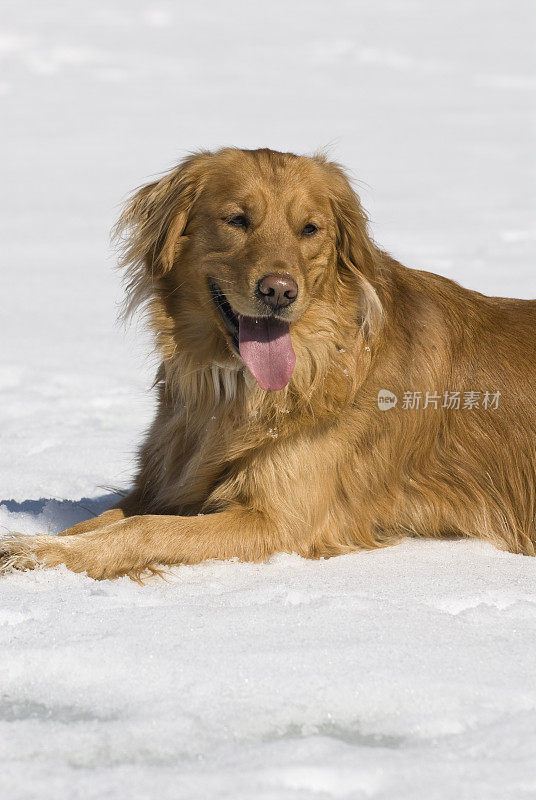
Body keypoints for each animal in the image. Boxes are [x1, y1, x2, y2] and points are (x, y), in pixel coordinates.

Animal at [1, 145, 536, 580]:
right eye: (237, 219)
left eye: (310, 229)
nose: (278, 292)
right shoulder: (167, 485)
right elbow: (104, 521)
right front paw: (40, 546)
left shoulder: (280, 522)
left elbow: (144, 530)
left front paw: (46, 556)